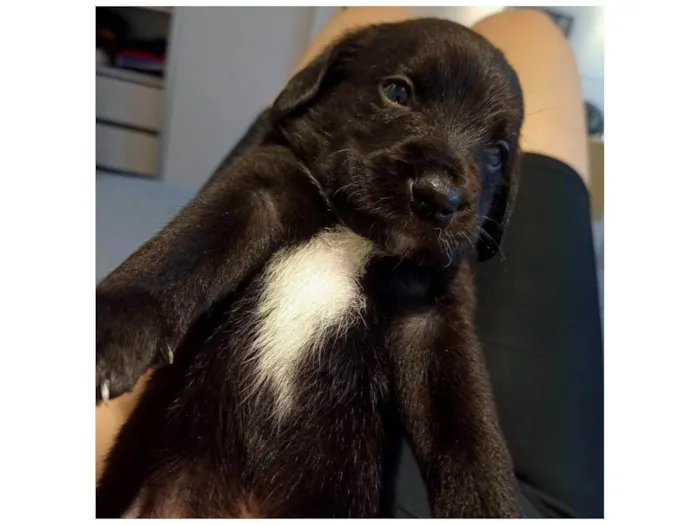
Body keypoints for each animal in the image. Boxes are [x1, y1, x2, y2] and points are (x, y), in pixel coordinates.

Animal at [95, 18, 524, 516]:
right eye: (397, 92)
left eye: (497, 153)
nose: (440, 197)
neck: (355, 231)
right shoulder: (254, 190)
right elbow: (181, 248)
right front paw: (116, 323)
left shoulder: (435, 319)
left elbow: (470, 433)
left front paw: (485, 505)